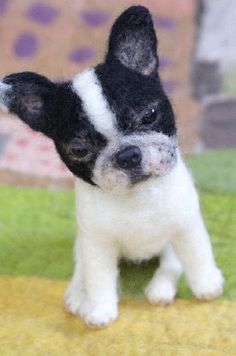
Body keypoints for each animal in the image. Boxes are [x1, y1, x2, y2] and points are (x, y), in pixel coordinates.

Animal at [0, 6, 223, 328]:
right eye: (79, 150)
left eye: (150, 115)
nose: (128, 155)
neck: (137, 196)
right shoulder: (97, 243)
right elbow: (99, 276)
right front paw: (99, 309)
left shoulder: (186, 224)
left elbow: (196, 254)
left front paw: (207, 285)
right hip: (83, 240)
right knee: (82, 265)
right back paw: (78, 294)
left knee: (171, 260)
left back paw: (160, 289)